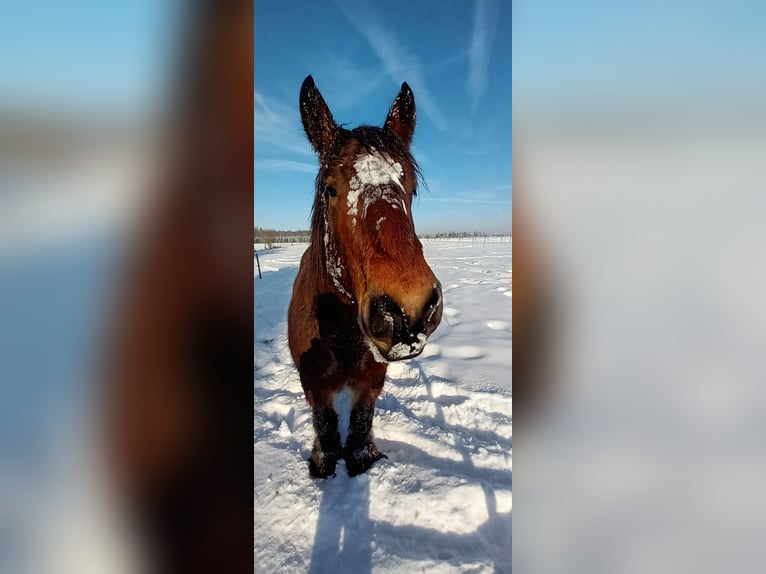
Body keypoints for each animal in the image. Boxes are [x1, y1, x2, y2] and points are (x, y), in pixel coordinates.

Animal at [288, 76, 444, 480]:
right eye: (329, 188)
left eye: (411, 188)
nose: (408, 311)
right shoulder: (314, 384)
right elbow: (325, 422)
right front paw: (324, 463)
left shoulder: (372, 378)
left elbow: (360, 419)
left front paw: (360, 458)